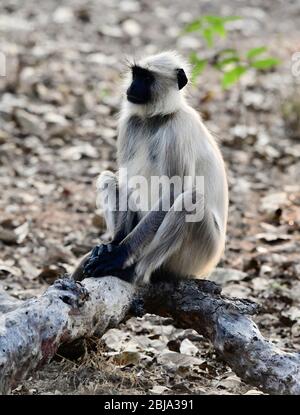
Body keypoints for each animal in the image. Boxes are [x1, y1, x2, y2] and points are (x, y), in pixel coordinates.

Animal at [72, 51, 227, 286]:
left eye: (146, 78)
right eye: (136, 74)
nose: (132, 87)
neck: (154, 119)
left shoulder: (176, 131)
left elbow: (173, 192)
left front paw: (119, 254)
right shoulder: (130, 123)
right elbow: (126, 181)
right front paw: (113, 245)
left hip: (199, 256)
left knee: (190, 200)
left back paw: (133, 273)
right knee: (108, 178)